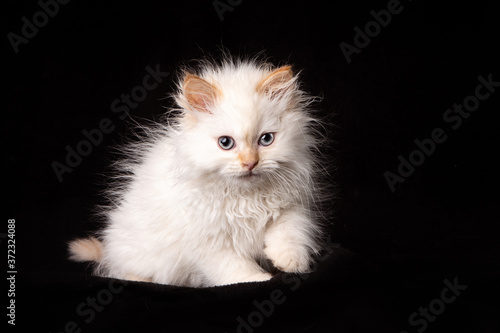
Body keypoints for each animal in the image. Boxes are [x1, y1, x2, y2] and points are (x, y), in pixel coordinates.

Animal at [69, 56, 324, 286]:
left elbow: (289, 231)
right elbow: (234, 267)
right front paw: (257, 279)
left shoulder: (292, 207)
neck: (245, 198)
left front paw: (289, 261)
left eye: (266, 139)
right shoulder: (207, 241)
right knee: (122, 271)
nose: (250, 163)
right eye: (225, 143)